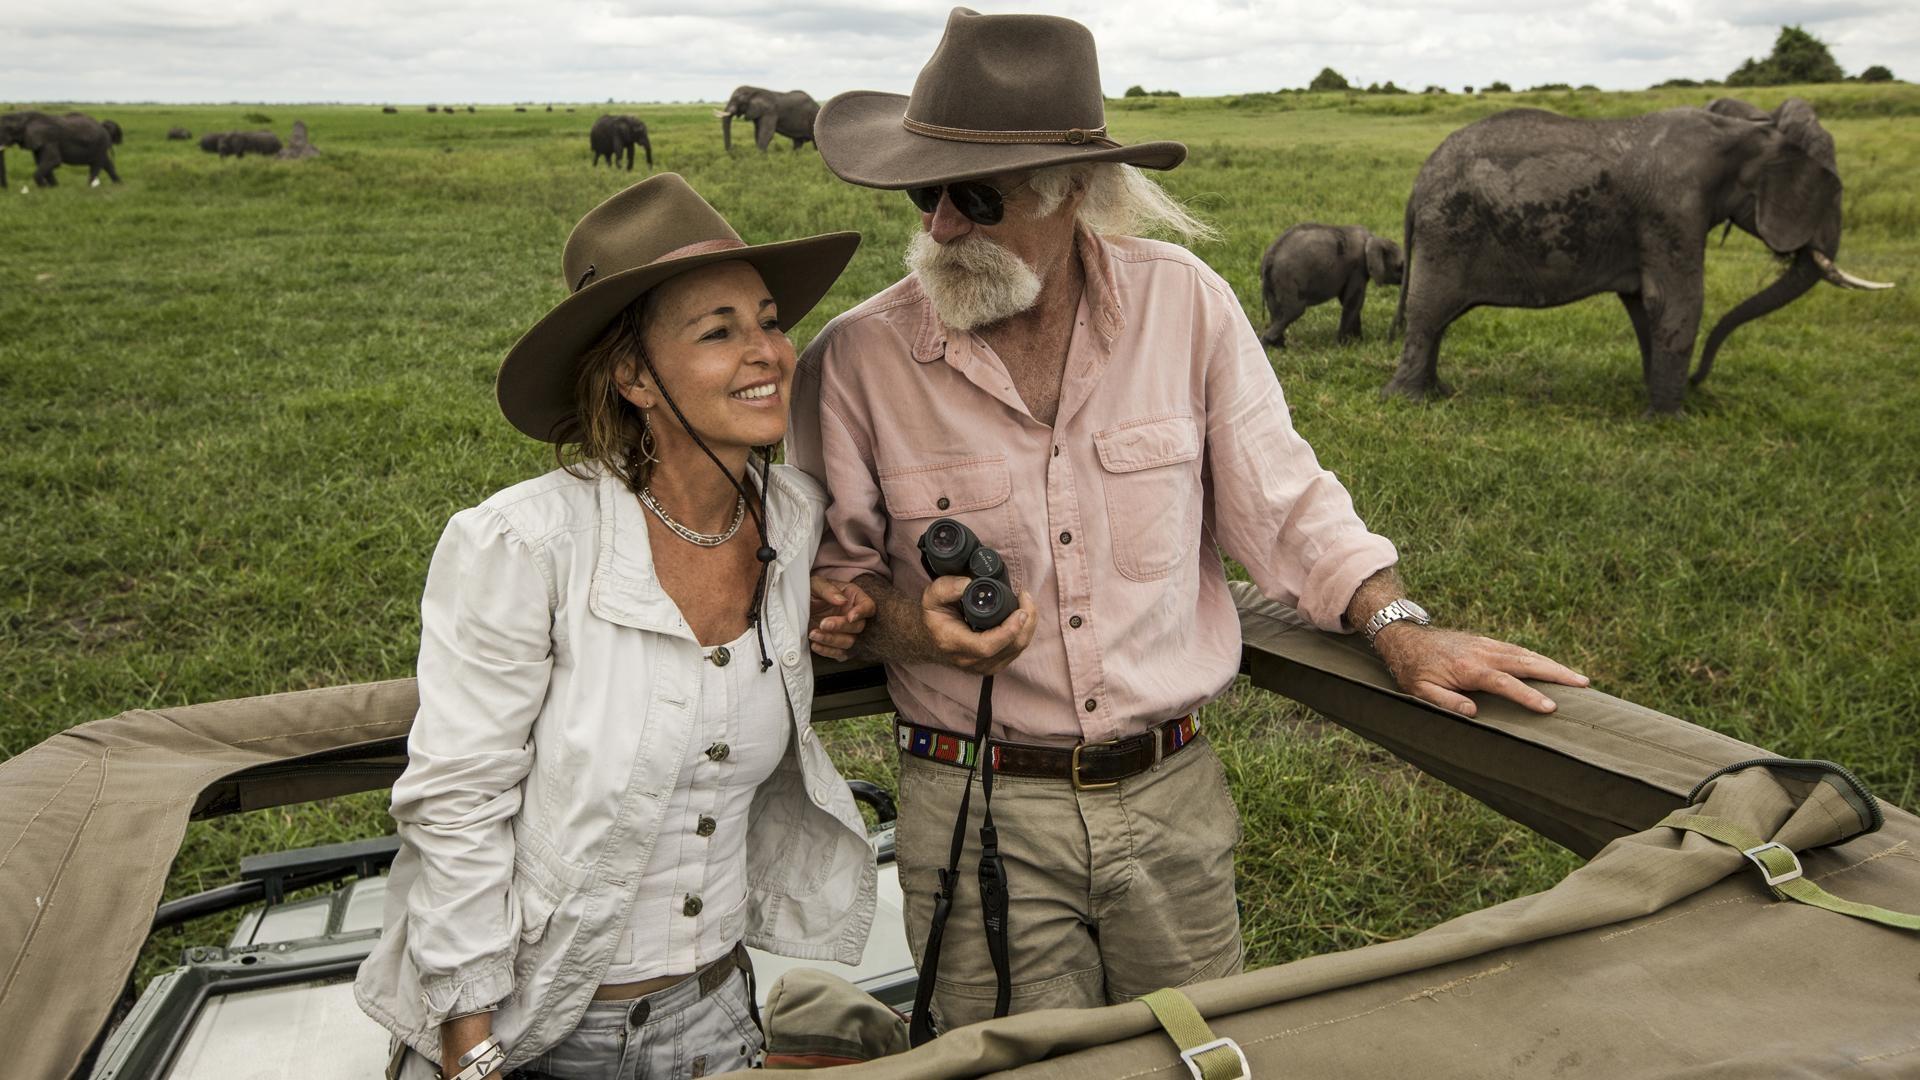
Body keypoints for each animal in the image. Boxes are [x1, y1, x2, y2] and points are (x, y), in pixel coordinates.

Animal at [1251, 223, 1405, 349]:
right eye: (1399, 267)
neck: (1374, 238)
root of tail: (1269, 258)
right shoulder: (1358, 267)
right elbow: (1353, 302)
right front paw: (1345, 346)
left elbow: (1348, 301)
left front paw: (1357, 342)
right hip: (1287, 278)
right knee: (1293, 311)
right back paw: (1267, 345)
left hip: (1272, 281)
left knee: (1276, 311)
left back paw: (1279, 347)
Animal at [1390, 96, 1896, 411]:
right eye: (1834, 191)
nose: (1699, 381)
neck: (1749, 126)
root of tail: (1417, 183)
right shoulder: (1673, 208)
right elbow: (1678, 302)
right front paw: (1670, 418)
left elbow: (1643, 306)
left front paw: (1655, 397)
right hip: (1448, 229)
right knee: (1429, 313)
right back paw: (1408, 401)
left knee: (1439, 319)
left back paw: (1438, 392)